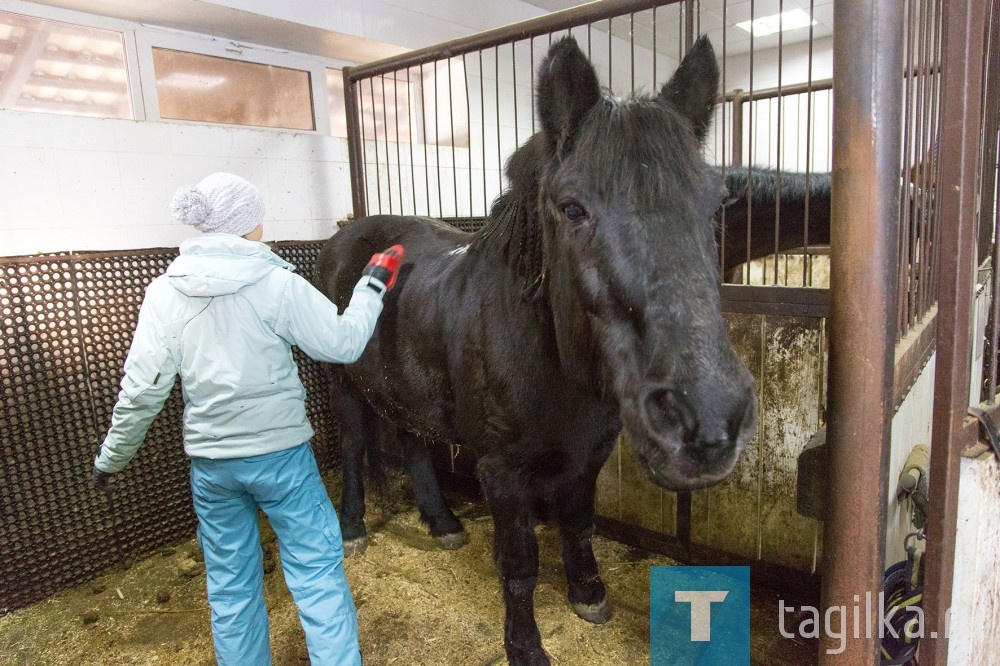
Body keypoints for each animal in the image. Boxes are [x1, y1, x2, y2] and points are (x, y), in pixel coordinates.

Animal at [316, 37, 752, 664]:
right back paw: (352, 529)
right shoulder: (503, 472)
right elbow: (519, 564)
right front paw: (525, 645)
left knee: (413, 441)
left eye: (715, 206)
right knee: (353, 446)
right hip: (343, 383)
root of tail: (346, 233)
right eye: (571, 208)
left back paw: (442, 523)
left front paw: (588, 594)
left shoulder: (589, 453)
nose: (709, 417)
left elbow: (578, 525)